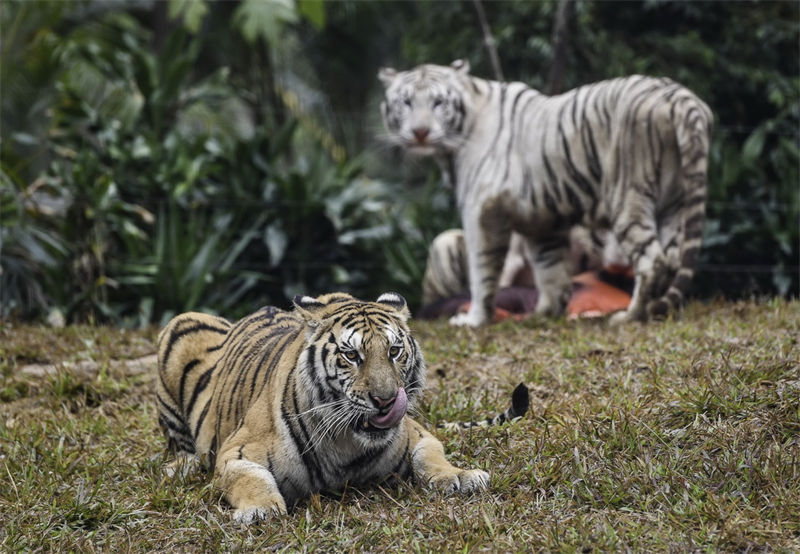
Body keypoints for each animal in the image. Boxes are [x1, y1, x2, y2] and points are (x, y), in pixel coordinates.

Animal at [157, 292, 528, 524]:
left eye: (394, 351)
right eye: (352, 355)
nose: (386, 400)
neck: (347, 443)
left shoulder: (418, 433)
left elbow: (432, 458)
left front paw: (461, 477)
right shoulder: (237, 450)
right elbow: (251, 478)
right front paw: (259, 509)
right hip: (178, 328)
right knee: (180, 446)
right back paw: (179, 468)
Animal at [382, 59, 712, 328]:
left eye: (438, 102)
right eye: (406, 102)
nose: (421, 132)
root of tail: (680, 96)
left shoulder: (482, 210)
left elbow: (483, 271)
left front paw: (475, 319)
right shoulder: (543, 221)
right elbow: (550, 270)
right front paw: (544, 313)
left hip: (629, 196)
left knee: (653, 261)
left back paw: (631, 316)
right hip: (674, 202)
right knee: (672, 258)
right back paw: (661, 311)